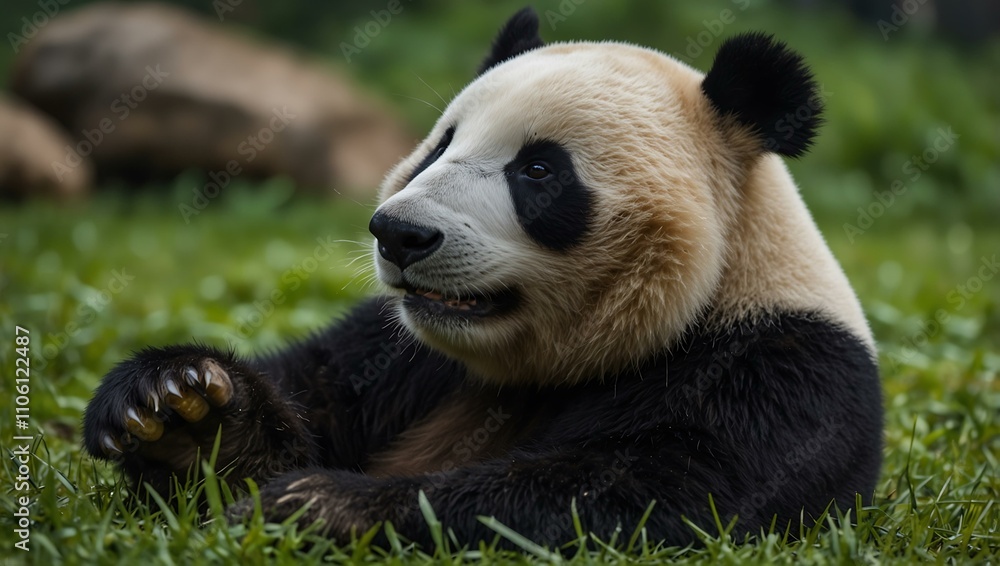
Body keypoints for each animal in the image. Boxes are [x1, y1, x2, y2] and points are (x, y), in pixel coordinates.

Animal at [83, 8, 883, 548]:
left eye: (538, 170)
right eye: (441, 144)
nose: (400, 233)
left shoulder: (778, 370)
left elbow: (648, 495)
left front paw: (322, 508)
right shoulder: (400, 354)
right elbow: (316, 397)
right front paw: (180, 410)